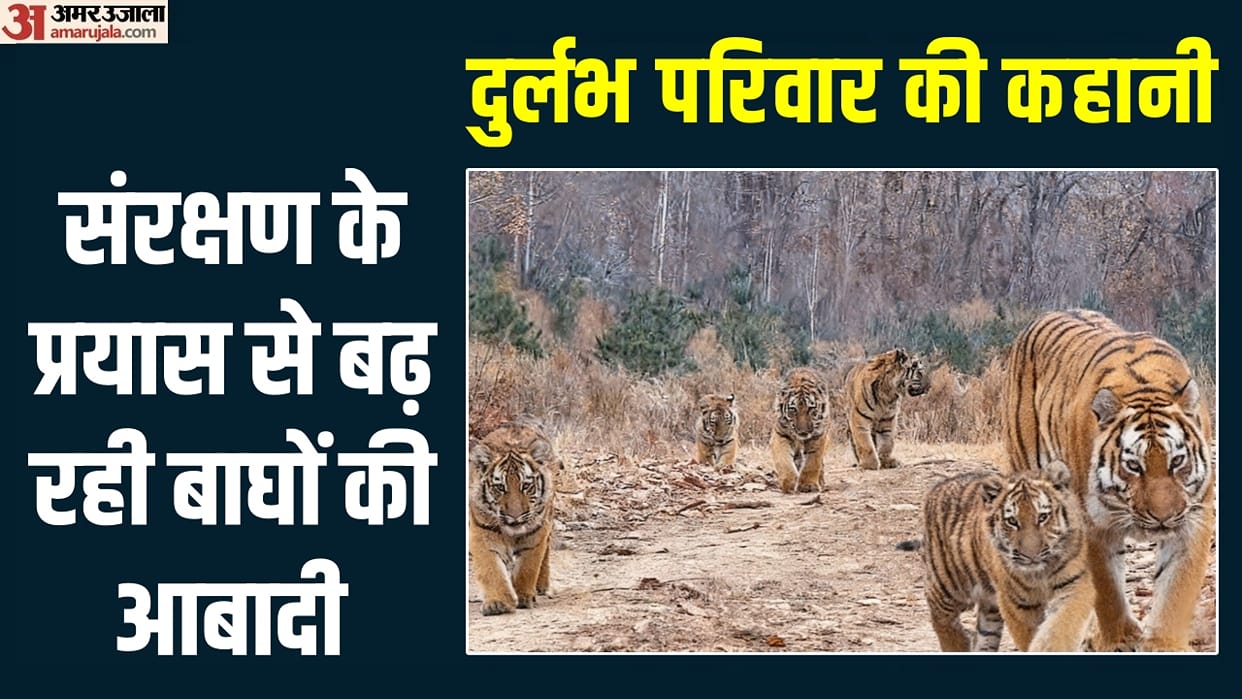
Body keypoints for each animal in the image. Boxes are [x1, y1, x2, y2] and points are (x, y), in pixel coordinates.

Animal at [468, 420, 559, 616]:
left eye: (526, 485)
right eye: (500, 487)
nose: (515, 516)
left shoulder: (536, 534)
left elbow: (528, 567)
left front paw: (524, 597)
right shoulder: (481, 533)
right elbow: (491, 569)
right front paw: (497, 603)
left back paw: (541, 587)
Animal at [922, 461, 1094, 652]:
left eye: (1043, 517)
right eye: (1012, 521)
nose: (1031, 556)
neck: (1040, 572)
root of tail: (939, 486)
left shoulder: (1074, 584)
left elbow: (1060, 627)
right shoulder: (1018, 603)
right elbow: (1029, 635)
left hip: (989, 607)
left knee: (985, 635)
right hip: (948, 584)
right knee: (939, 615)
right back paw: (958, 643)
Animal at [1002, 309, 1215, 651]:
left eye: (1177, 461)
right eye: (1133, 466)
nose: (1163, 517)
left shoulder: (1194, 517)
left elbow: (1177, 588)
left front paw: (1164, 643)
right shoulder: (1093, 523)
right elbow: (1107, 589)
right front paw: (1121, 638)